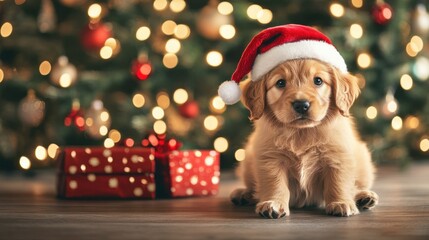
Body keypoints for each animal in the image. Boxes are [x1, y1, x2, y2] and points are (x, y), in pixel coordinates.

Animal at [231, 59, 378, 218]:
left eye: (318, 80)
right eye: (280, 83)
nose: (301, 105)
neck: (301, 133)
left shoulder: (338, 157)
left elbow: (338, 181)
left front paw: (340, 202)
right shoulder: (270, 159)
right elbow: (274, 183)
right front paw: (273, 203)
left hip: (363, 162)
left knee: (357, 185)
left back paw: (364, 197)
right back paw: (243, 194)